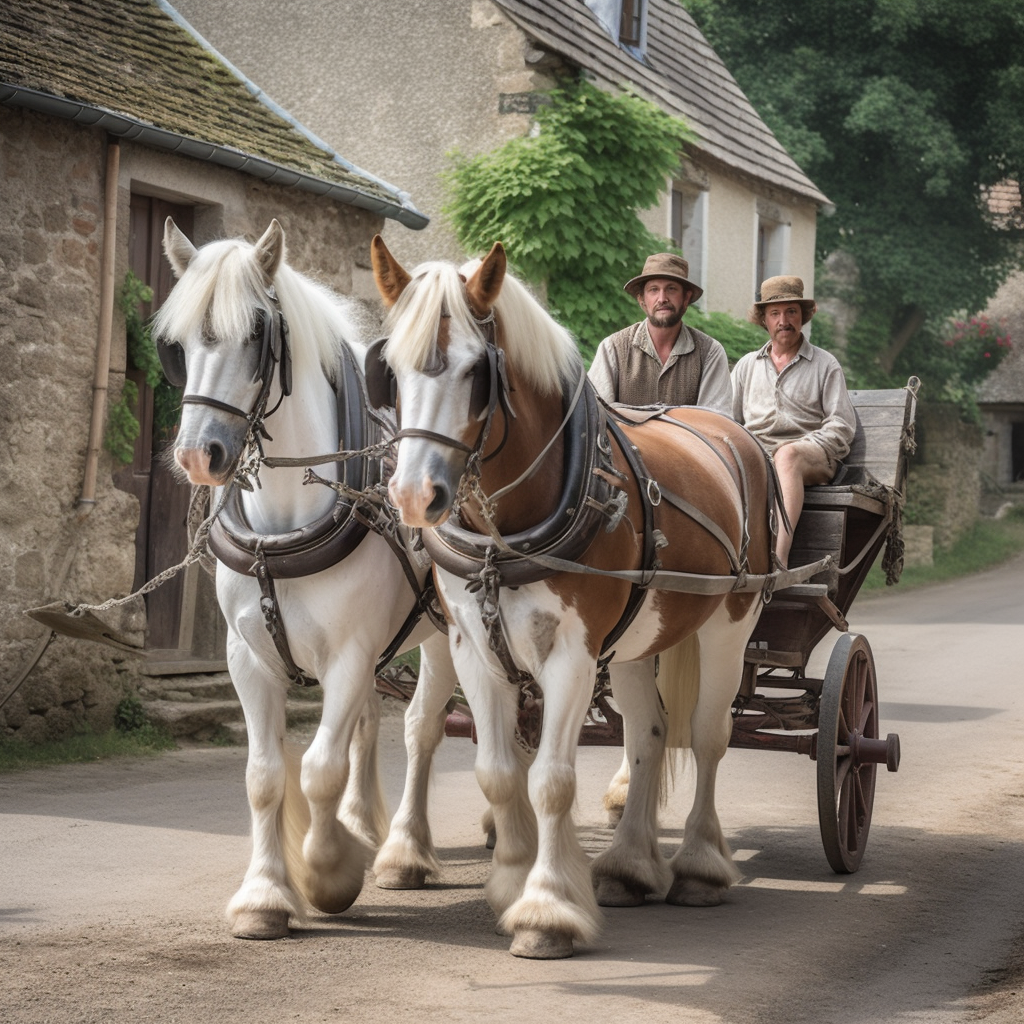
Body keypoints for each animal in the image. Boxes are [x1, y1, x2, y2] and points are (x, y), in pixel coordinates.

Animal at [152, 220, 456, 937]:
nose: (197, 456)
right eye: (176, 346)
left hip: (443, 636)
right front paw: (264, 895)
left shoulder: (347, 653)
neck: (283, 525)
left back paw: (403, 851)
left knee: (422, 728)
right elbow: (265, 775)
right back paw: (365, 824)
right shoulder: (248, 656)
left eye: (257, 334)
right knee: (372, 721)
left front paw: (328, 873)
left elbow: (318, 768)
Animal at [372, 239, 770, 958]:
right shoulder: (473, 648)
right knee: (648, 734)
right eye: (388, 369)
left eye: (477, 372)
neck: (504, 536)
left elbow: (552, 780)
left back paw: (699, 866)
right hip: (642, 637)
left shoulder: (573, 656)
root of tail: (729, 430)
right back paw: (630, 866)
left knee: (706, 736)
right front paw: (510, 883)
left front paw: (547, 910)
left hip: (729, 623)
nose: (416, 497)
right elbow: (498, 770)